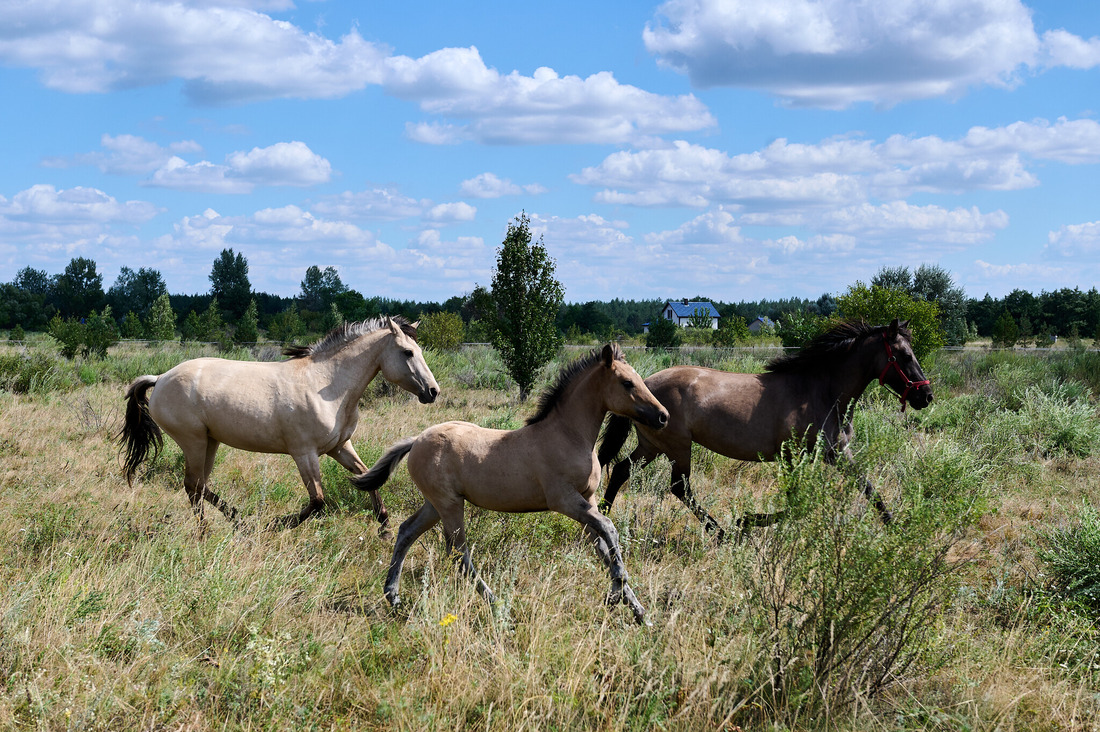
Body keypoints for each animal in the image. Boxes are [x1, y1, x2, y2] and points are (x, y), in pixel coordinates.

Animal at [119, 317, 437, 528]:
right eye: (408, 352)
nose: (432, 391)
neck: (327, 384)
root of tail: (160, 378)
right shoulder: (304, 453)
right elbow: (317, 501)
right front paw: (277, 524)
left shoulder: (339, 446)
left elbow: (367, 476)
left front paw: (384, 524)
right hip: (193, 441)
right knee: (193, 485)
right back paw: (219, 528)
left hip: (210, 441)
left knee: (198, 487)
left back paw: (233, 522)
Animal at [598, 317, 932, 539]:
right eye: (904, 355)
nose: (926, 396)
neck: (820, 392)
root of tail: (645, 384)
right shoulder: (791, 457)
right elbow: (795, 503)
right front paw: (746, 521)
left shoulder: (836, 454)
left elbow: (869, 489)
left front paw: (896, 528)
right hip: (677, 446)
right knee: (679, 487)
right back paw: (723, 533)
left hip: (652, 445)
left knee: (621, 470)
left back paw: (603, 515)